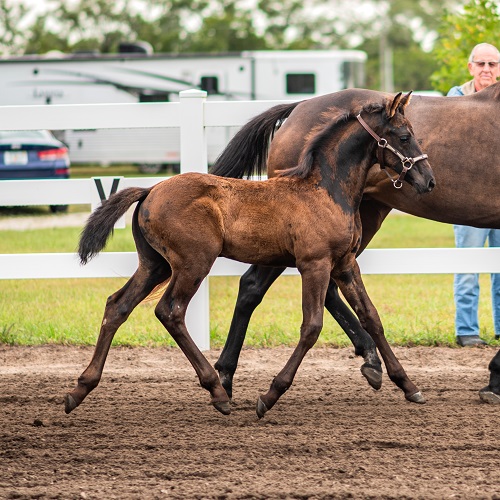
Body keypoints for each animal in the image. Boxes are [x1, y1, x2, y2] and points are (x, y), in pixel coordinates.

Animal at [65, 91, 434, 418]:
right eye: (404, 136)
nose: (428, 181)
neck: (325, 189)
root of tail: (149, 189)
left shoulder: (345, 264)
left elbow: (372, 317)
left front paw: (409, 386)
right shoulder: (314, 265)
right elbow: (312, 326)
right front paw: (269, 395)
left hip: (155, 265)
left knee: (117, 305)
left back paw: (80, 389)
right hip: (193, 264)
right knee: (170, 311)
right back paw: (217, 391)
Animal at [209, 80, 500, 404]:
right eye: (404, 136)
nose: (430, 180)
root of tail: (298, 107)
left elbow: (368, 314)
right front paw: (494, 379)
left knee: (323, 292)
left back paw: (370, 360)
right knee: (253, 287)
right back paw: (225, 376)